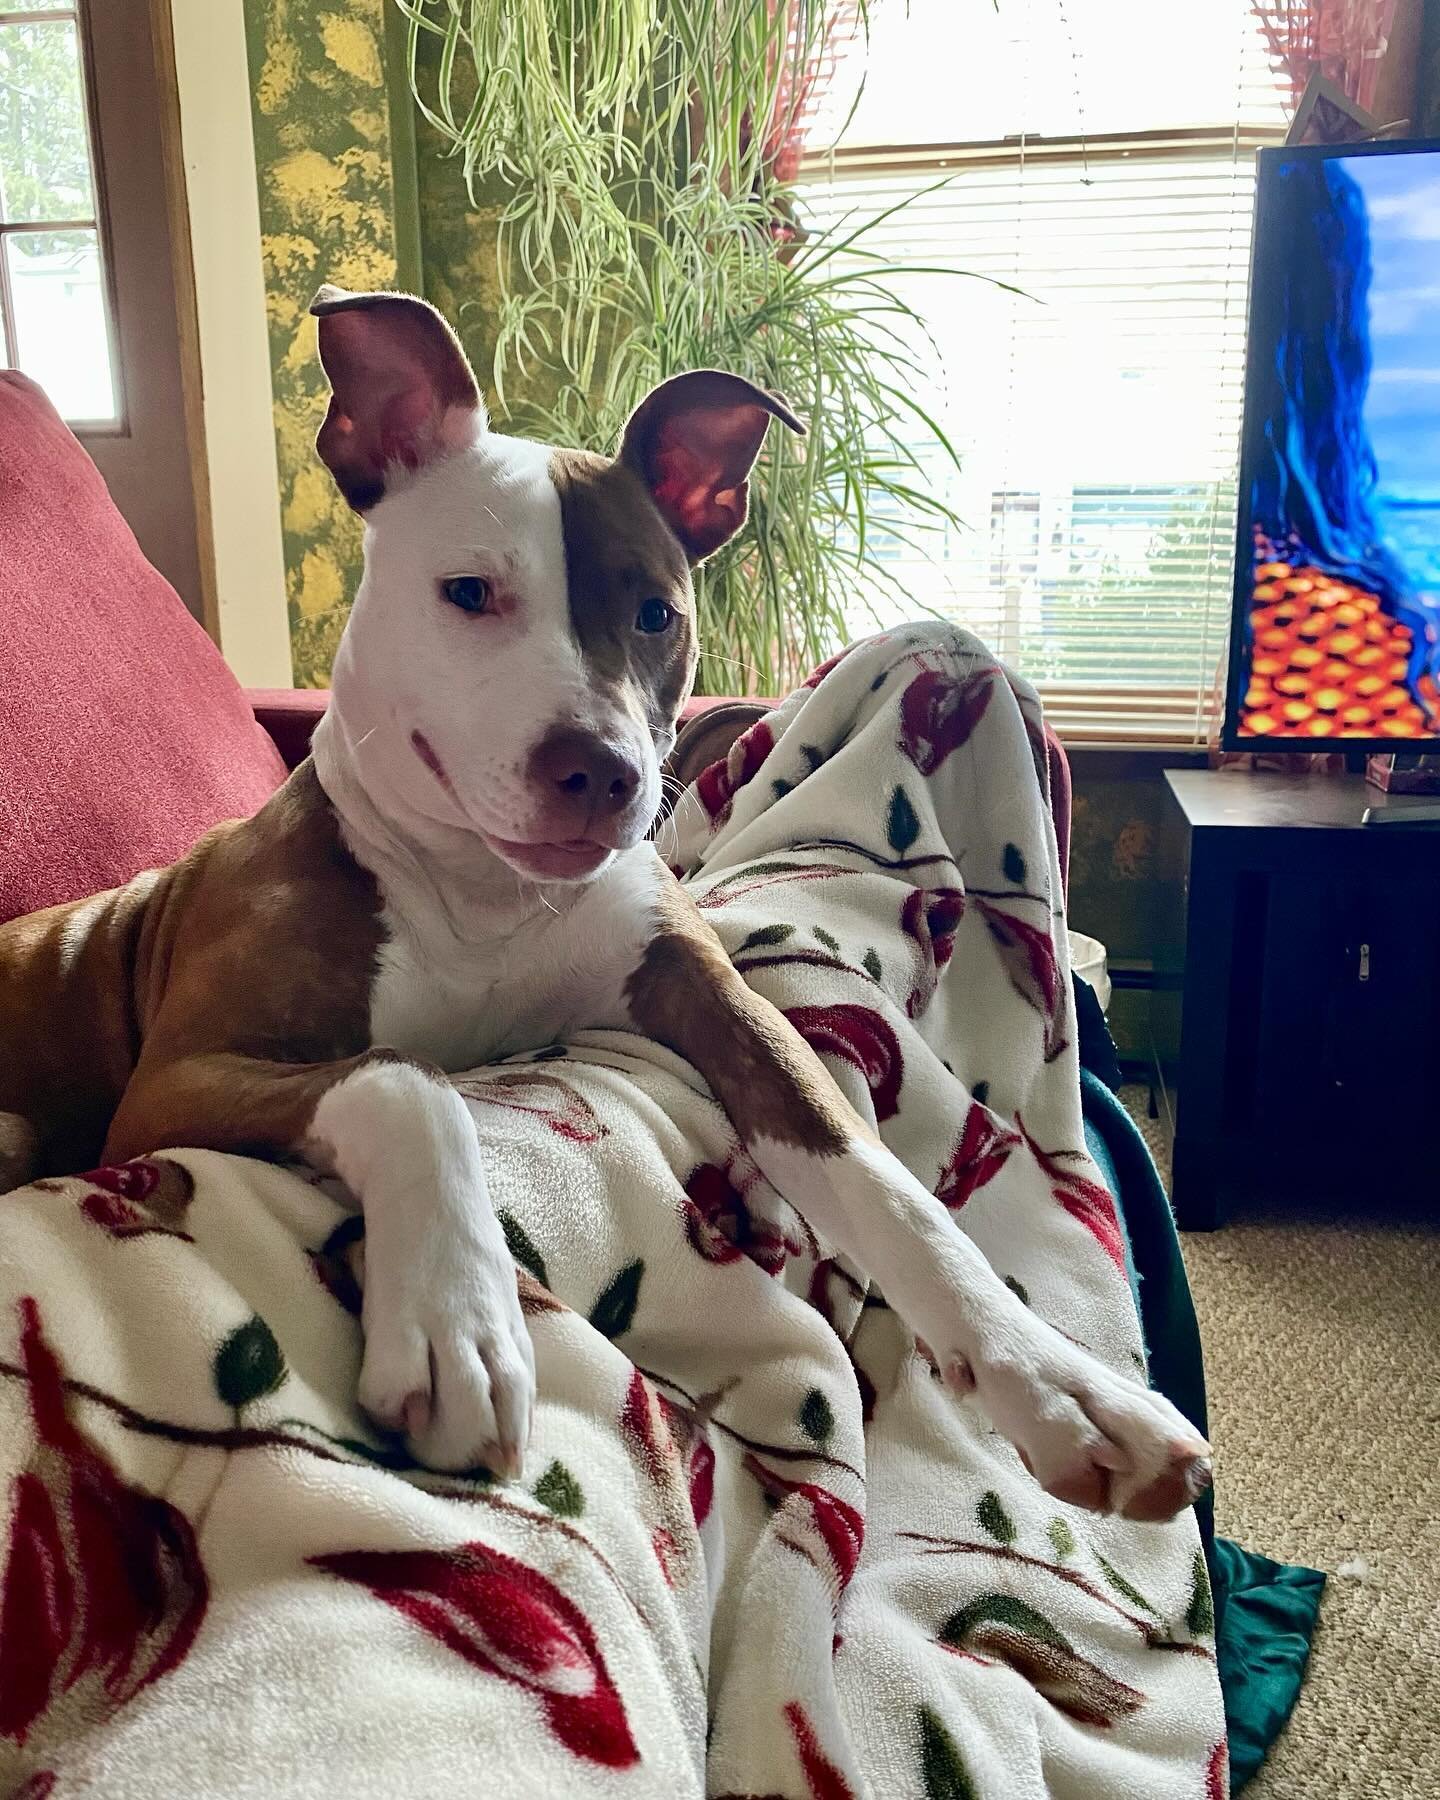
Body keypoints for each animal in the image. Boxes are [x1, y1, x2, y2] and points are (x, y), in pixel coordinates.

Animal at [0, 284, 1209, 1519]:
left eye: (656, 614)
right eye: (469, 594)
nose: (600, 769)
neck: (486, 895)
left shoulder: (719, 1003)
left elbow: (874, 1173)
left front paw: (1058, 1383)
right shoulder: (176, 1082)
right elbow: (407, 1077)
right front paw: (457, 1324)